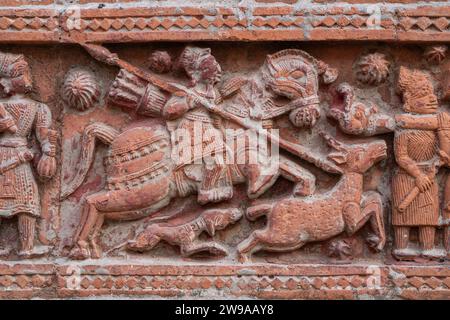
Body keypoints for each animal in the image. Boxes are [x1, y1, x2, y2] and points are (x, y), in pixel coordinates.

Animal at [237, 132, 388, 262]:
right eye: (360, 150)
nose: (382, 145)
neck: (346, 193)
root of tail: (272, 207)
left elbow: (374, 198)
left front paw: (378, 241)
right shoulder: (350, 218)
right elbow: (369, 210)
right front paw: (380, 241)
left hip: (293, 240)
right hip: (285, 235)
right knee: (257, 235)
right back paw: (244, 259)